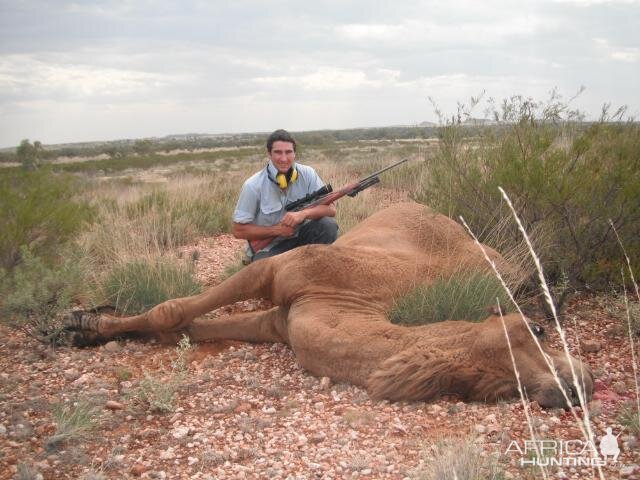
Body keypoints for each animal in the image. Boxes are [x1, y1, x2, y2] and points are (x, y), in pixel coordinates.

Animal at [69, 202, 592, 408]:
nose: (579, 384)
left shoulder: (278, 321)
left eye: (504, 391)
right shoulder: (276, 275)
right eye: (538, 330)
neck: (352, 301)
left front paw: (89, 324)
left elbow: (182, 326)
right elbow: (174, 313)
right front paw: (84, 324)